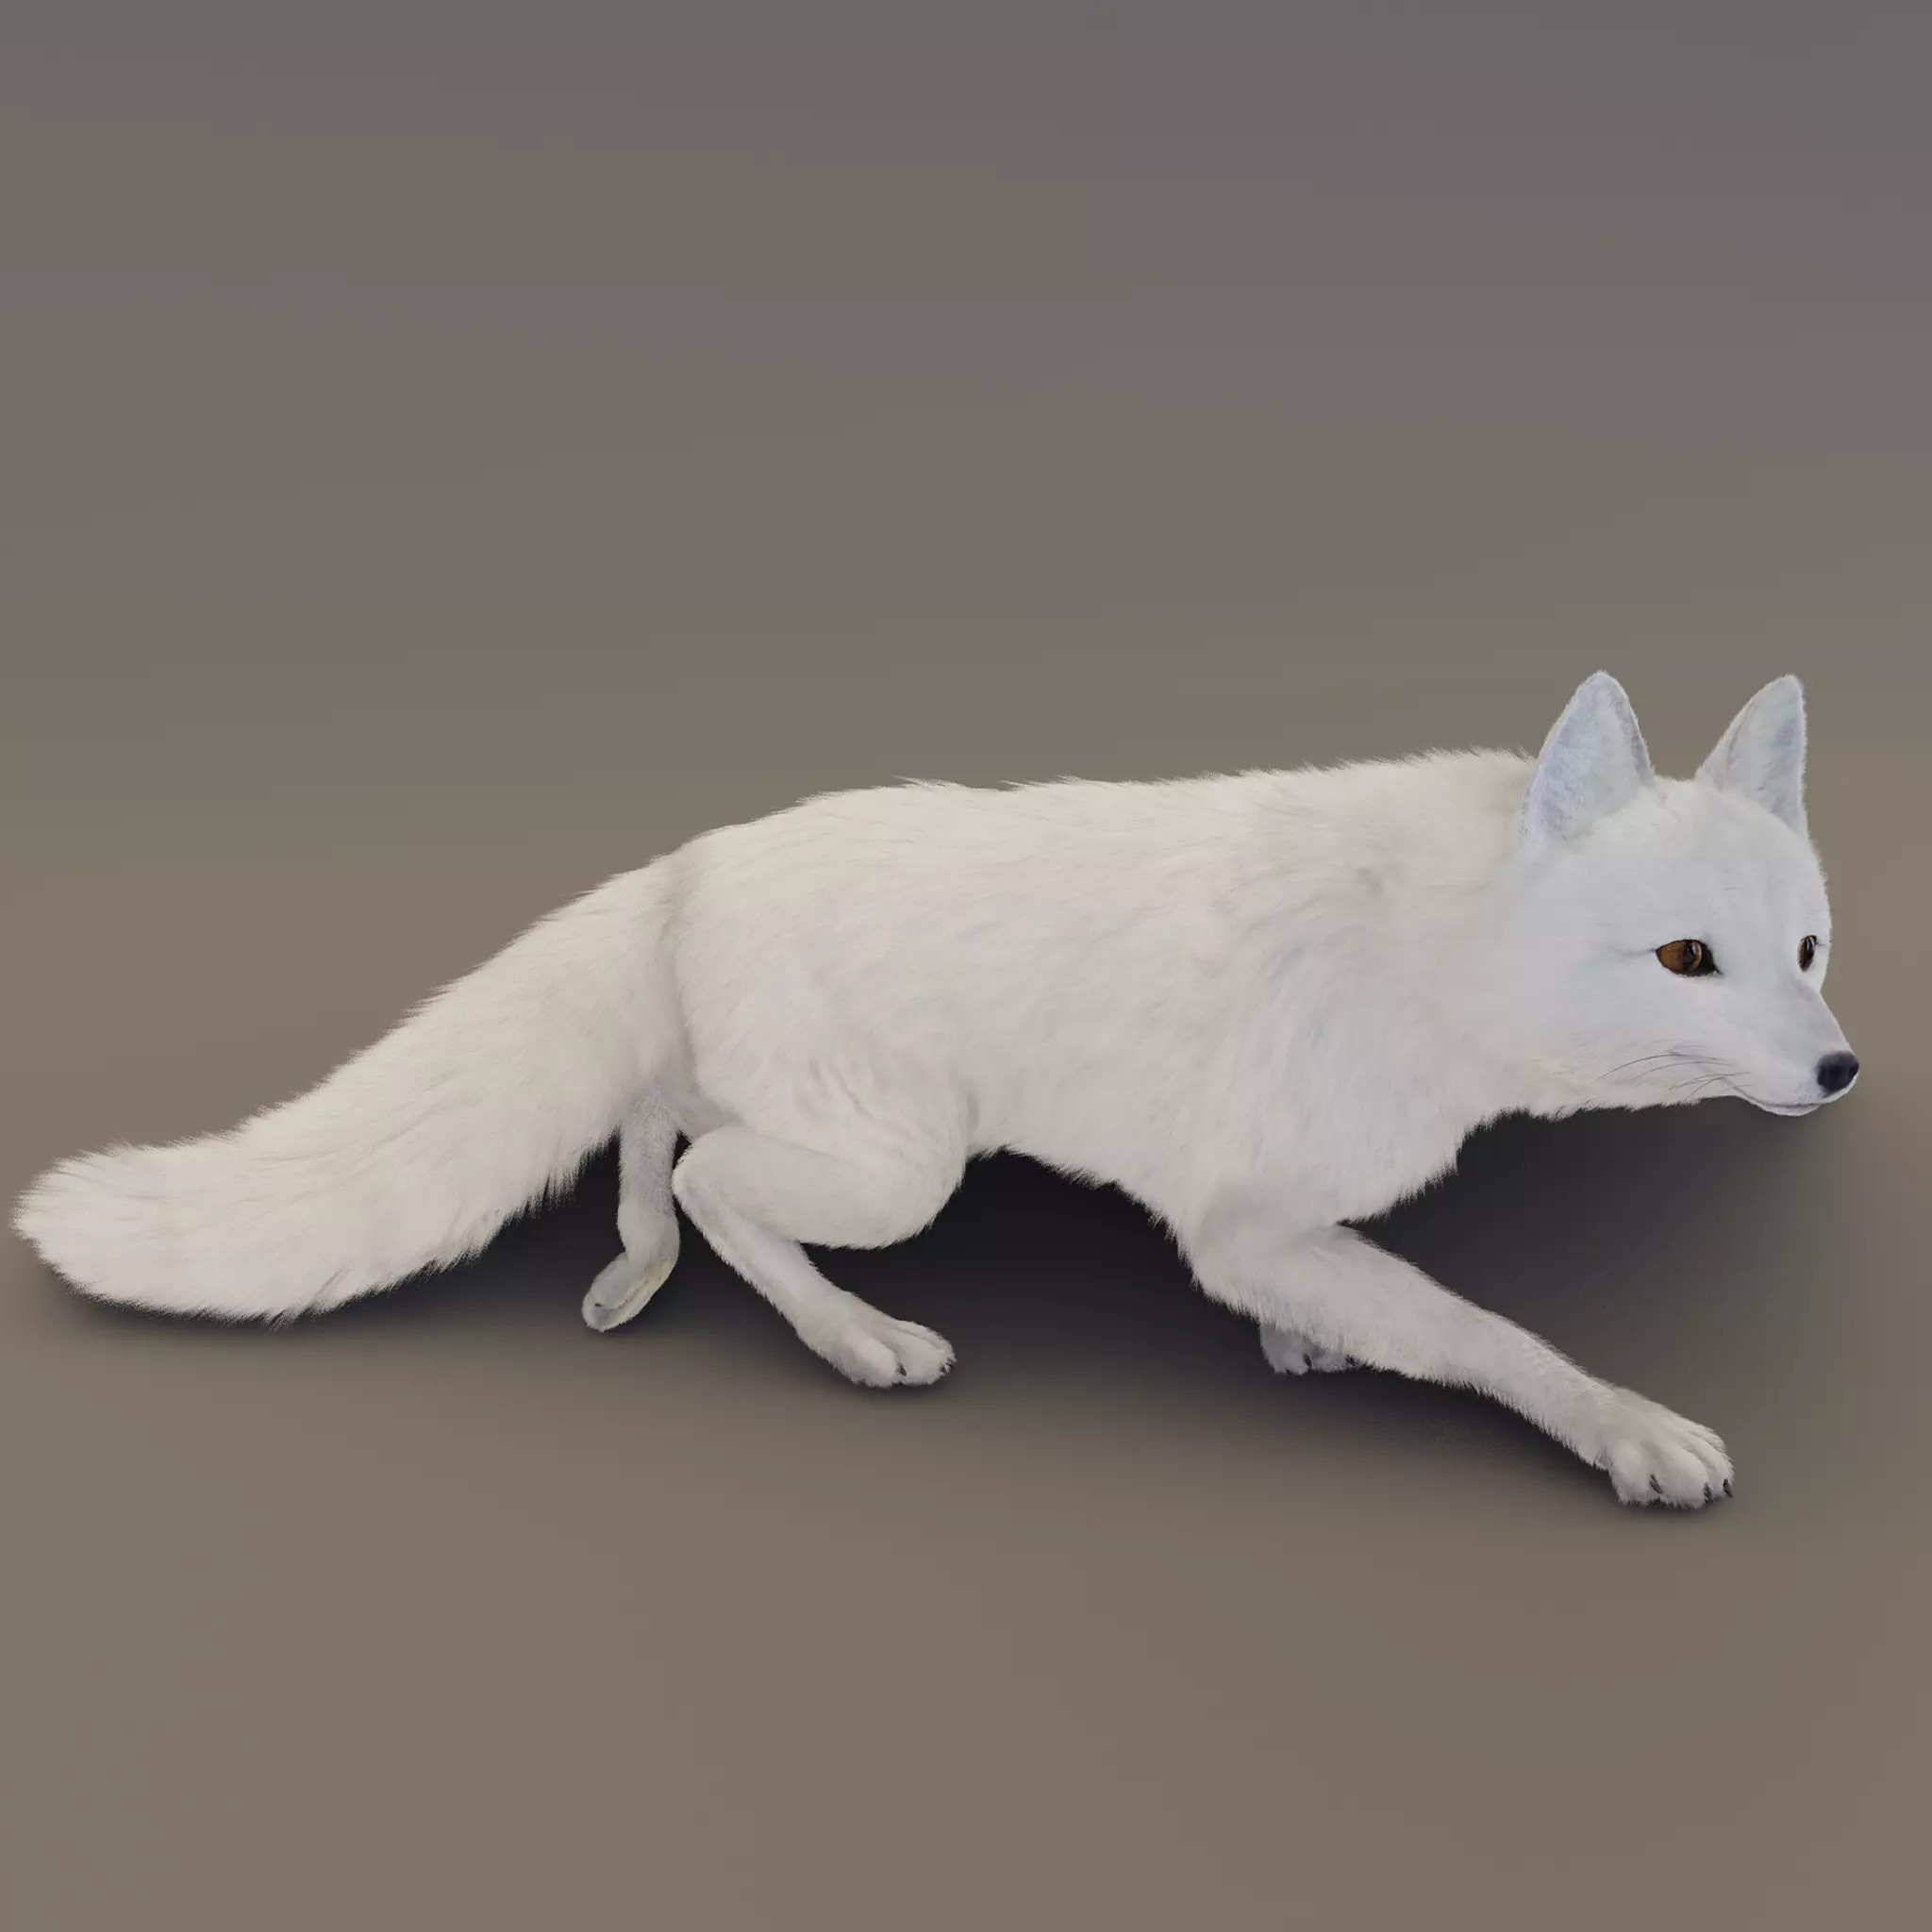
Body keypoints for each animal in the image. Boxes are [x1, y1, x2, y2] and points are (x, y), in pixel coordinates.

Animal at [15, 671, 1857, 1507]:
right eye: (1687, 959)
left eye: (1809, 950)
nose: (1843, 1069)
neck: (1433, 948)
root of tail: (689, 859)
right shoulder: (1240, 1219)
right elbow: (1491, 1337)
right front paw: (1627, 1428)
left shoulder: (1269, 1216)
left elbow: (1362, 1301)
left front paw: (1302, 1345)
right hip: (905, 1171)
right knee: (717, 1180)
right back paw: (850, 1340)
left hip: (821, 1117)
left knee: (660, 1120)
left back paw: (624, 1269)